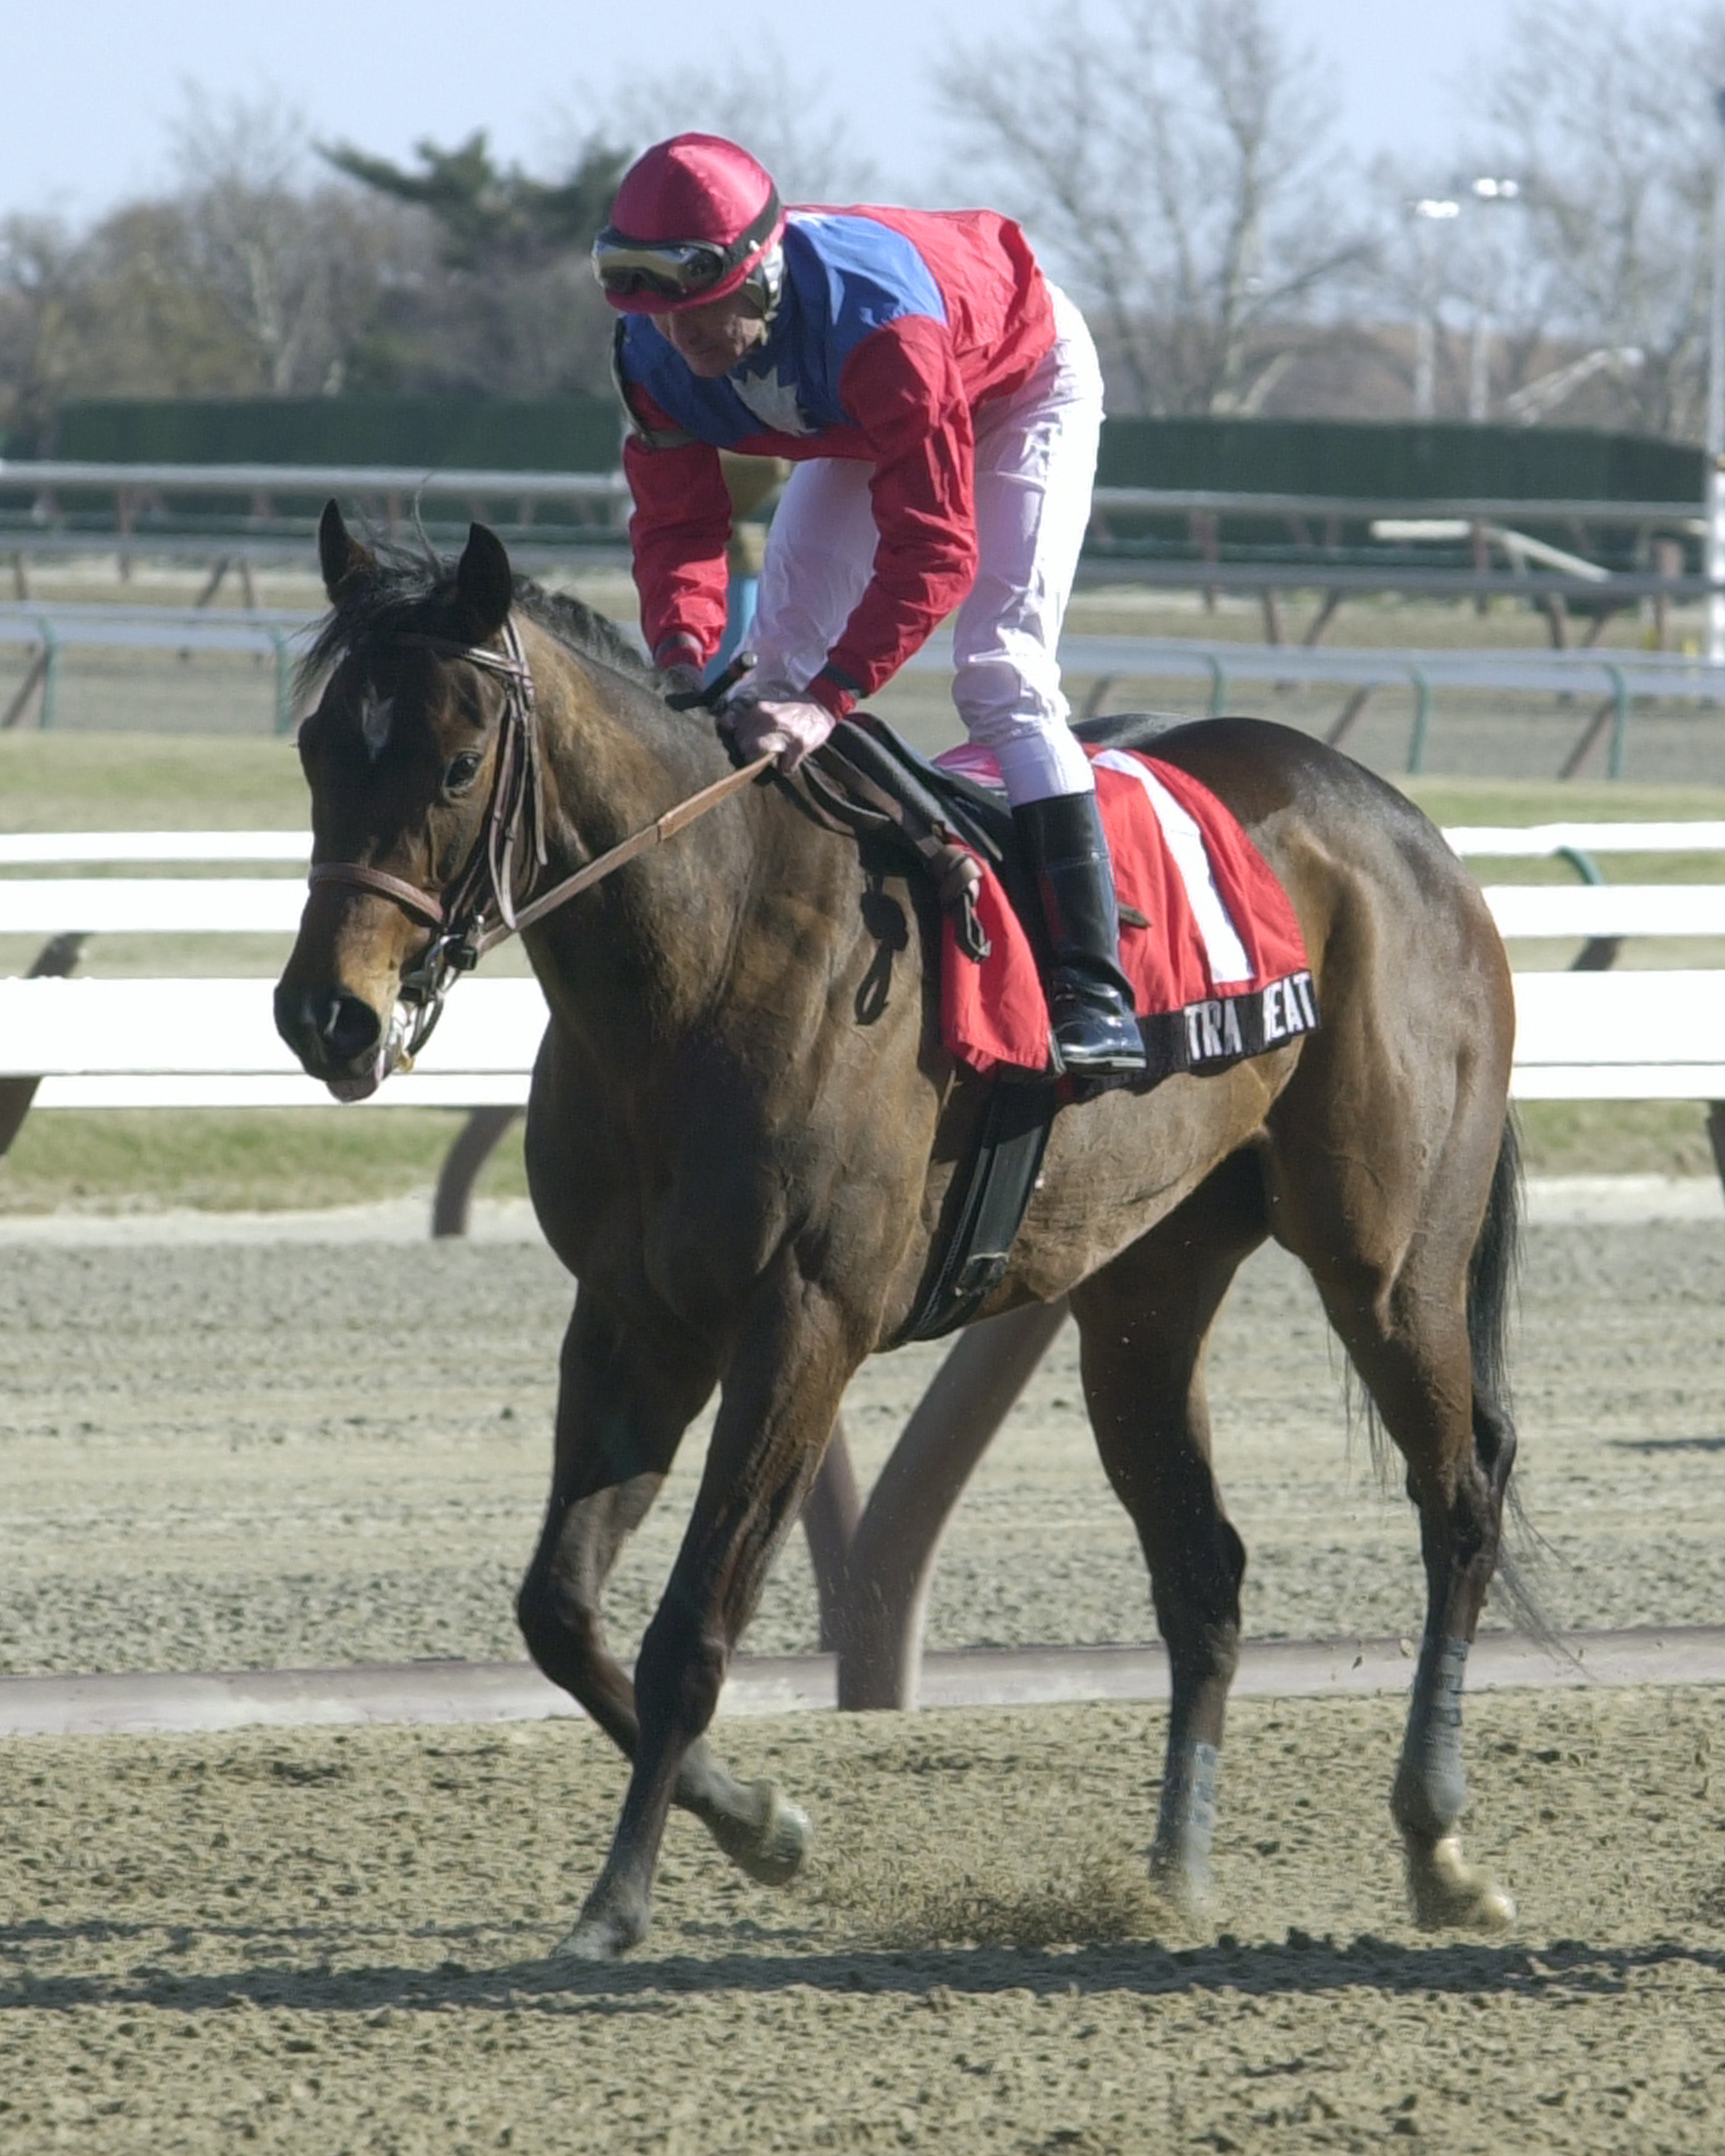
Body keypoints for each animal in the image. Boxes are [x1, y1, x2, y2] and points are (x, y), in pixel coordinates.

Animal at [280, 513, 1527, 1966]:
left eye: (457, 761)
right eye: (316, 746)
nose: (328, 1018)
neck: (708, 957)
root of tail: (1407, 826)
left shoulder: (802, 1325)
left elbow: (691, 1629)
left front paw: (617, 1903)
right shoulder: (634, 1318)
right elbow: (559, 1612)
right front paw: (761, 1823)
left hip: (1386, 1257)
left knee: (1460, 1491)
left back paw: (1438, 1844)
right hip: (1144, 1293)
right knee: (1202, 1566)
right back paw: (1171, 1873)